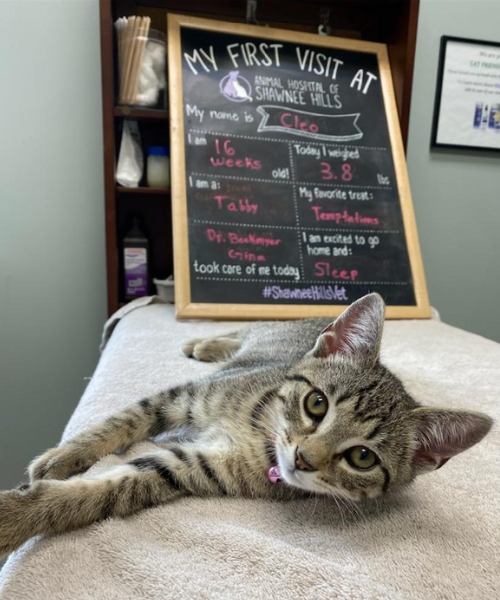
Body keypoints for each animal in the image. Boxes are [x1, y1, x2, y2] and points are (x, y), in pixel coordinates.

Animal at [0, 292, 492, 556]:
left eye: (362, 457)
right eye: (317, 404)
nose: (302, 459)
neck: (260, 432)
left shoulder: (187, 467)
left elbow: (102, 490)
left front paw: (17, 516)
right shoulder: (182, 397)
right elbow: (121, 421)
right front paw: (64, 456)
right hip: (259, 335)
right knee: (240, 331)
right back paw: (201, 342)